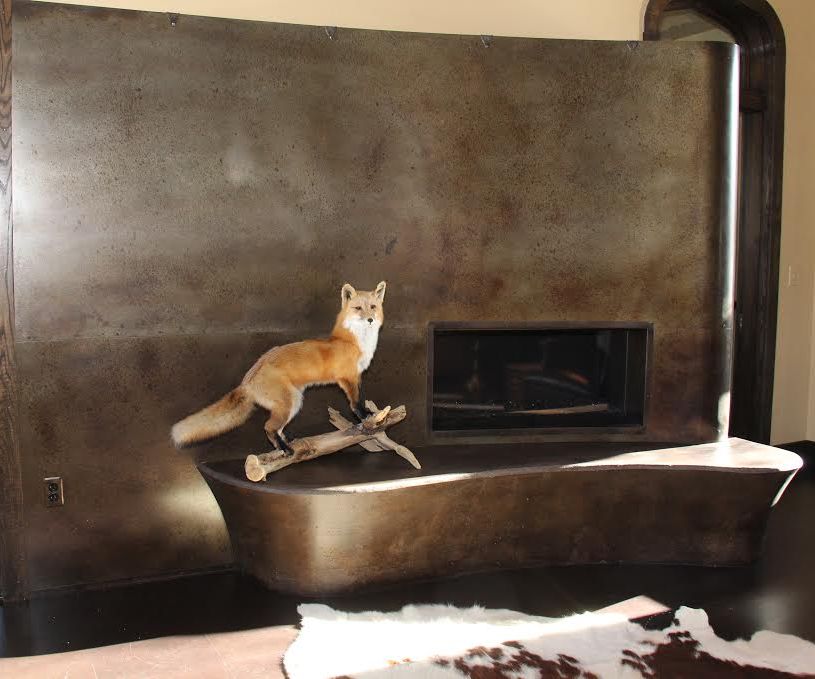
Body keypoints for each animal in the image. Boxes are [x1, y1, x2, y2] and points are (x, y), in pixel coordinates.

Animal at [171, 281, 387, 454]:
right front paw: (364, 417)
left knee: (277, 428)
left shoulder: (357, 376)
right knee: (269, 427)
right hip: (288, 403)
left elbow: (359, 399)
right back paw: (284, 449)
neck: (353, 342)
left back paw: (287, 442)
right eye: (358, 308)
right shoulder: (347, 377)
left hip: (294, 403)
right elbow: (355, 402)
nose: (370, 319)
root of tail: (247, 379)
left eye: (372, 307)